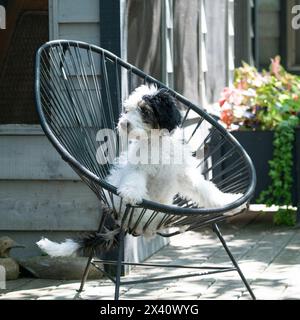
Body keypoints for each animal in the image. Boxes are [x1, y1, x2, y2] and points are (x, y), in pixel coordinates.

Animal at [37, 85, 244, 258]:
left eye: (145, 110)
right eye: (128, 110)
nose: (124, 123)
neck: (156, 142)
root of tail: (120, 222)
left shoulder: (183, 173)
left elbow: (205, 189)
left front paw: (228, 201)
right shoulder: (139, 168)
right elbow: (134, 180)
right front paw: (131, 193)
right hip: (139, 213)